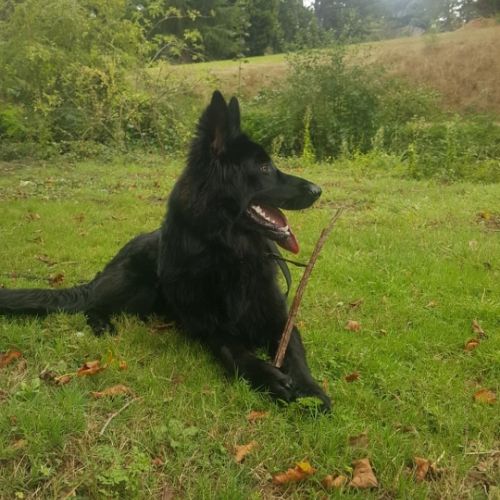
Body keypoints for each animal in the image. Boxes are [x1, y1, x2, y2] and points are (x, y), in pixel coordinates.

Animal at [0, 91, 331, 411]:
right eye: (264, 168)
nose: (318, 191)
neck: (229, 251)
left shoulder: (278, 318)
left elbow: (294, 350)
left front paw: (311, 389)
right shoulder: (209, 326)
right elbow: (233, 350)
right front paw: (266, 376)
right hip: (139, 288)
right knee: (91, 305)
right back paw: (103, 323)